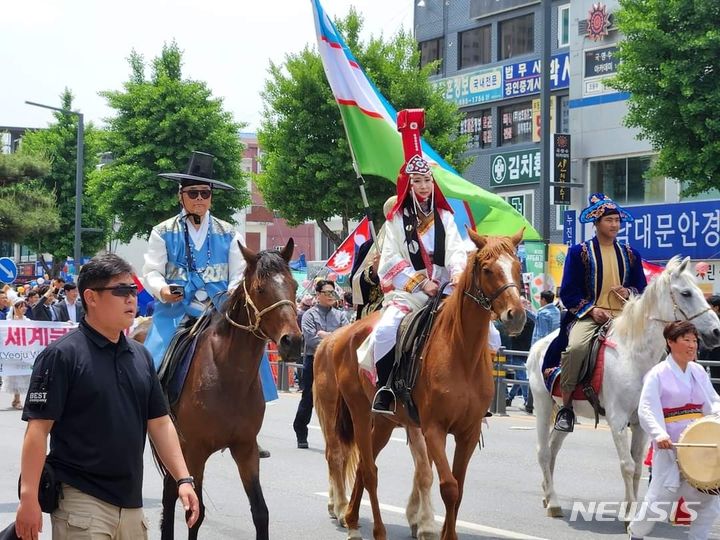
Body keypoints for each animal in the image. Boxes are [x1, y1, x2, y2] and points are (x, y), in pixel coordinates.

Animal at [156, 242, 302, 540]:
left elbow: (260, 512)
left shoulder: (245, 449)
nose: (292, 341)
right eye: (260, 288)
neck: (229, 375)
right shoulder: (195, 451)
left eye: (294, 285)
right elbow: (195, 513)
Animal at [314, 229, 524, 540]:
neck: (462, 352)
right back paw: (368, 526)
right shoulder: (433, 428)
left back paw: (351, 518)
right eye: (487, 269)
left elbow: (458, 488)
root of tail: (340, 336)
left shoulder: (468, 432)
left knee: (364, 467)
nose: (517, 315)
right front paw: (430, 526)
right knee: (362, 466)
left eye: (518, 268)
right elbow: (448, 487)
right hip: (357, 412)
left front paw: (438, 529)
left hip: (385, 421)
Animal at [524, 258, 720, 520]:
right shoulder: (617, 418)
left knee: (554, 449)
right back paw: (554, 502)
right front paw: (628, 516)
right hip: (543, 403)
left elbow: (637, 467)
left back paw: (548, 494)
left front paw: (633, 511)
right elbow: (627, 466)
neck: (634, 355)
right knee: (544, 452)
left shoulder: (641, 422)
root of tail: (538, 345)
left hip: (566, 409)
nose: (717, 332)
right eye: (686, 293)